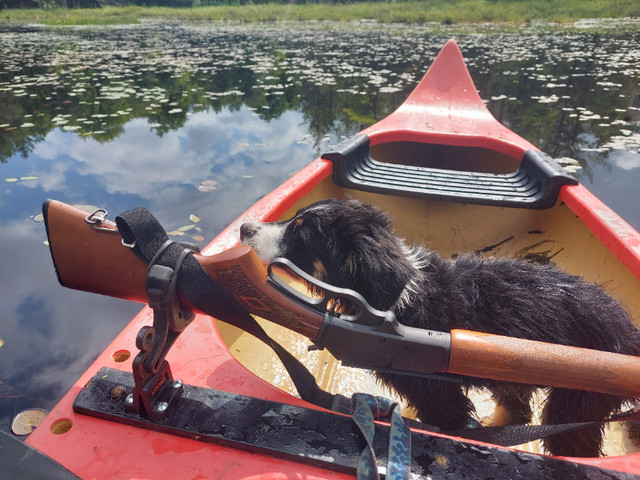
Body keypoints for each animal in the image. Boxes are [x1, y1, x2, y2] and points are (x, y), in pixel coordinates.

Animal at [240, 199, 640, 458]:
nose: (244, 227)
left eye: (302, 235)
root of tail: (629, 332)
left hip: (578, 400)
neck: (395, 296)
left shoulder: (435, 391)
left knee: (571, 441)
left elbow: (447, 420)